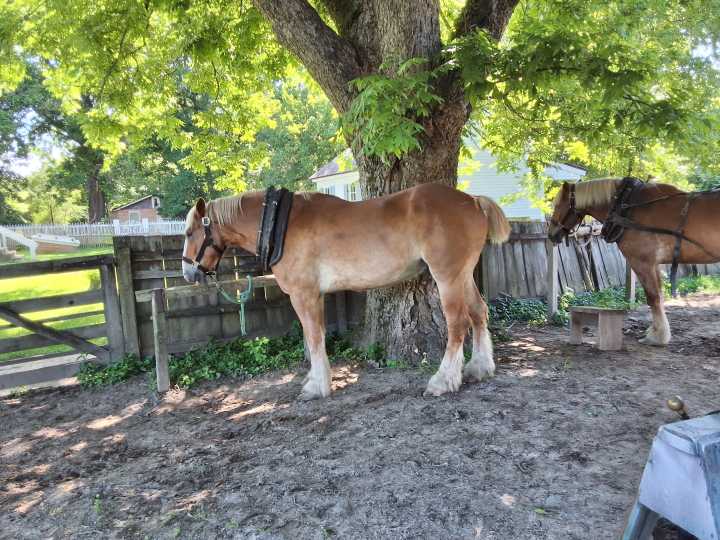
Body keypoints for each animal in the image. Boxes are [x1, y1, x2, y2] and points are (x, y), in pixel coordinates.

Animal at [182, 183, 511, 399]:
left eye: (188, 232)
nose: (188, 273)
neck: (282, 223)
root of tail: (472, 201)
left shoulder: (304, 294)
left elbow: (314, 337)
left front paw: (317, 386)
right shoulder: (312, 295)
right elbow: (314, 335)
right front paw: (317, 378)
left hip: (448, 276)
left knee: (458, 323)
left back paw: (443, 380)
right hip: (462, 275)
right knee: (479, 313)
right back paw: (480, 367)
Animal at [548, 178, 720, 345]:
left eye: (558, 205)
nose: (550, 234)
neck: (628, 207)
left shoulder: (642, 262)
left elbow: (653, 298)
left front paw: (657, 336)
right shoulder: (653, 264)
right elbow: (659, 296)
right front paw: (657, 332)